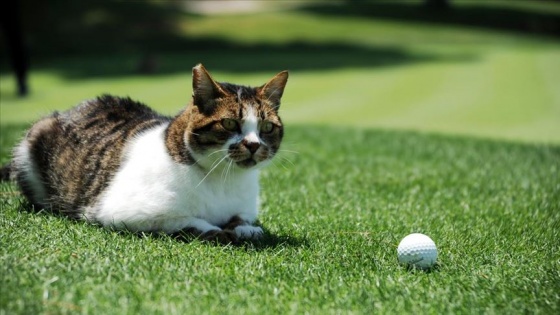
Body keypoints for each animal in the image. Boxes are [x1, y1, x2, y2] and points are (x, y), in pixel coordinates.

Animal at [5, 64, 288, 246]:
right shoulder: (123, 211)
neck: (222, 177)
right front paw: (216, 231)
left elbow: (241, 220)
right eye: (229, 123)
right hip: (31, 144)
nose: (253, 144)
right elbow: (187, 220)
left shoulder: (244, 208)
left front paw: (245, 229)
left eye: (266, 127)